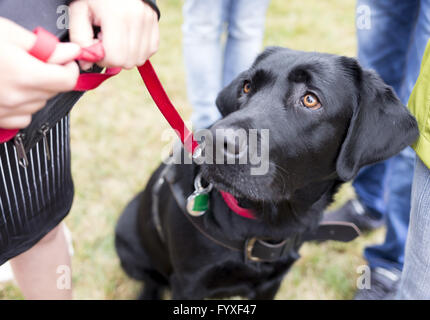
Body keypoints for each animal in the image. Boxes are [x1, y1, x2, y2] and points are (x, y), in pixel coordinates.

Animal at [113, 47, 416, 300]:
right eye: (247, 86)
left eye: (310, 99)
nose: (215, 141)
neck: (271, 221)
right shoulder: (189, 283)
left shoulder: (272, 283)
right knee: (150, 281)